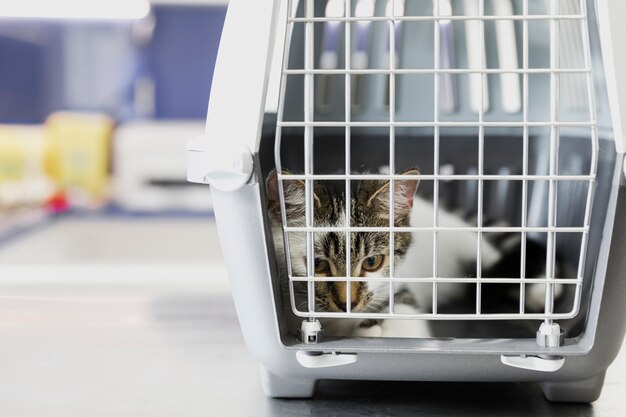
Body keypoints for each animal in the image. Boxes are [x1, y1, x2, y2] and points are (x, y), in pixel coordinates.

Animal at [266, 167, 560, 336]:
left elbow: (405, 323)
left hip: (462, 238)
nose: (347, 304)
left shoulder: (399, 290)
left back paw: (543, 290)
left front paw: (373, 331)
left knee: (493, 261)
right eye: (317, 264)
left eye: (372, 262)